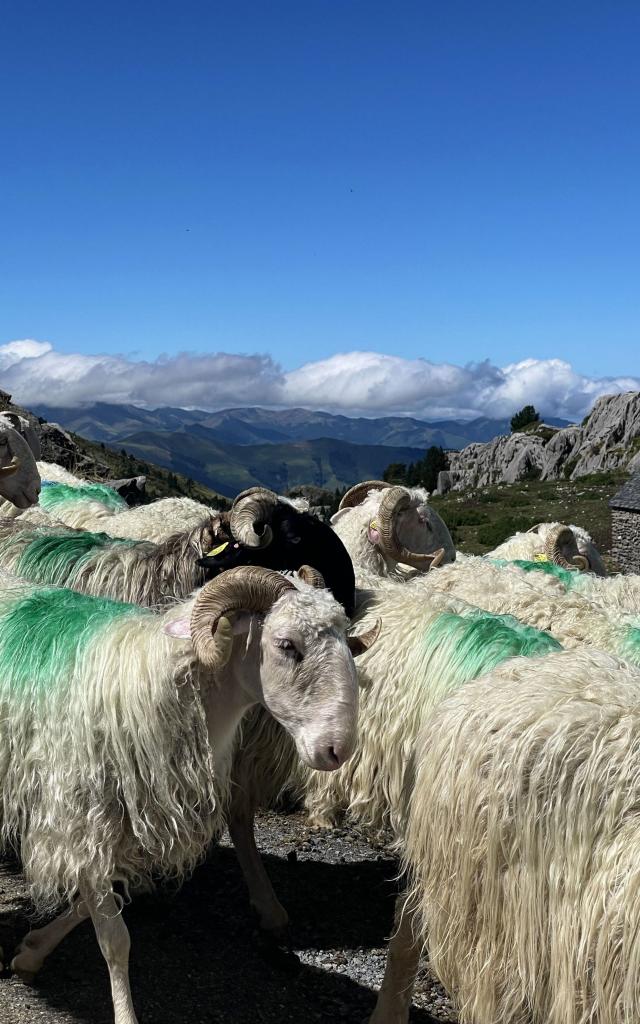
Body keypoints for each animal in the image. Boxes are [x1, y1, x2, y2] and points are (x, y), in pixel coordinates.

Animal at [0, 565, 374, 1019]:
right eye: (287, 645)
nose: (338, 749)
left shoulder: (122, 827)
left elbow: (95, 904)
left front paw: (31, 951)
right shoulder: (81, 821)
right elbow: (115, 939)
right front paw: (125, 1014)